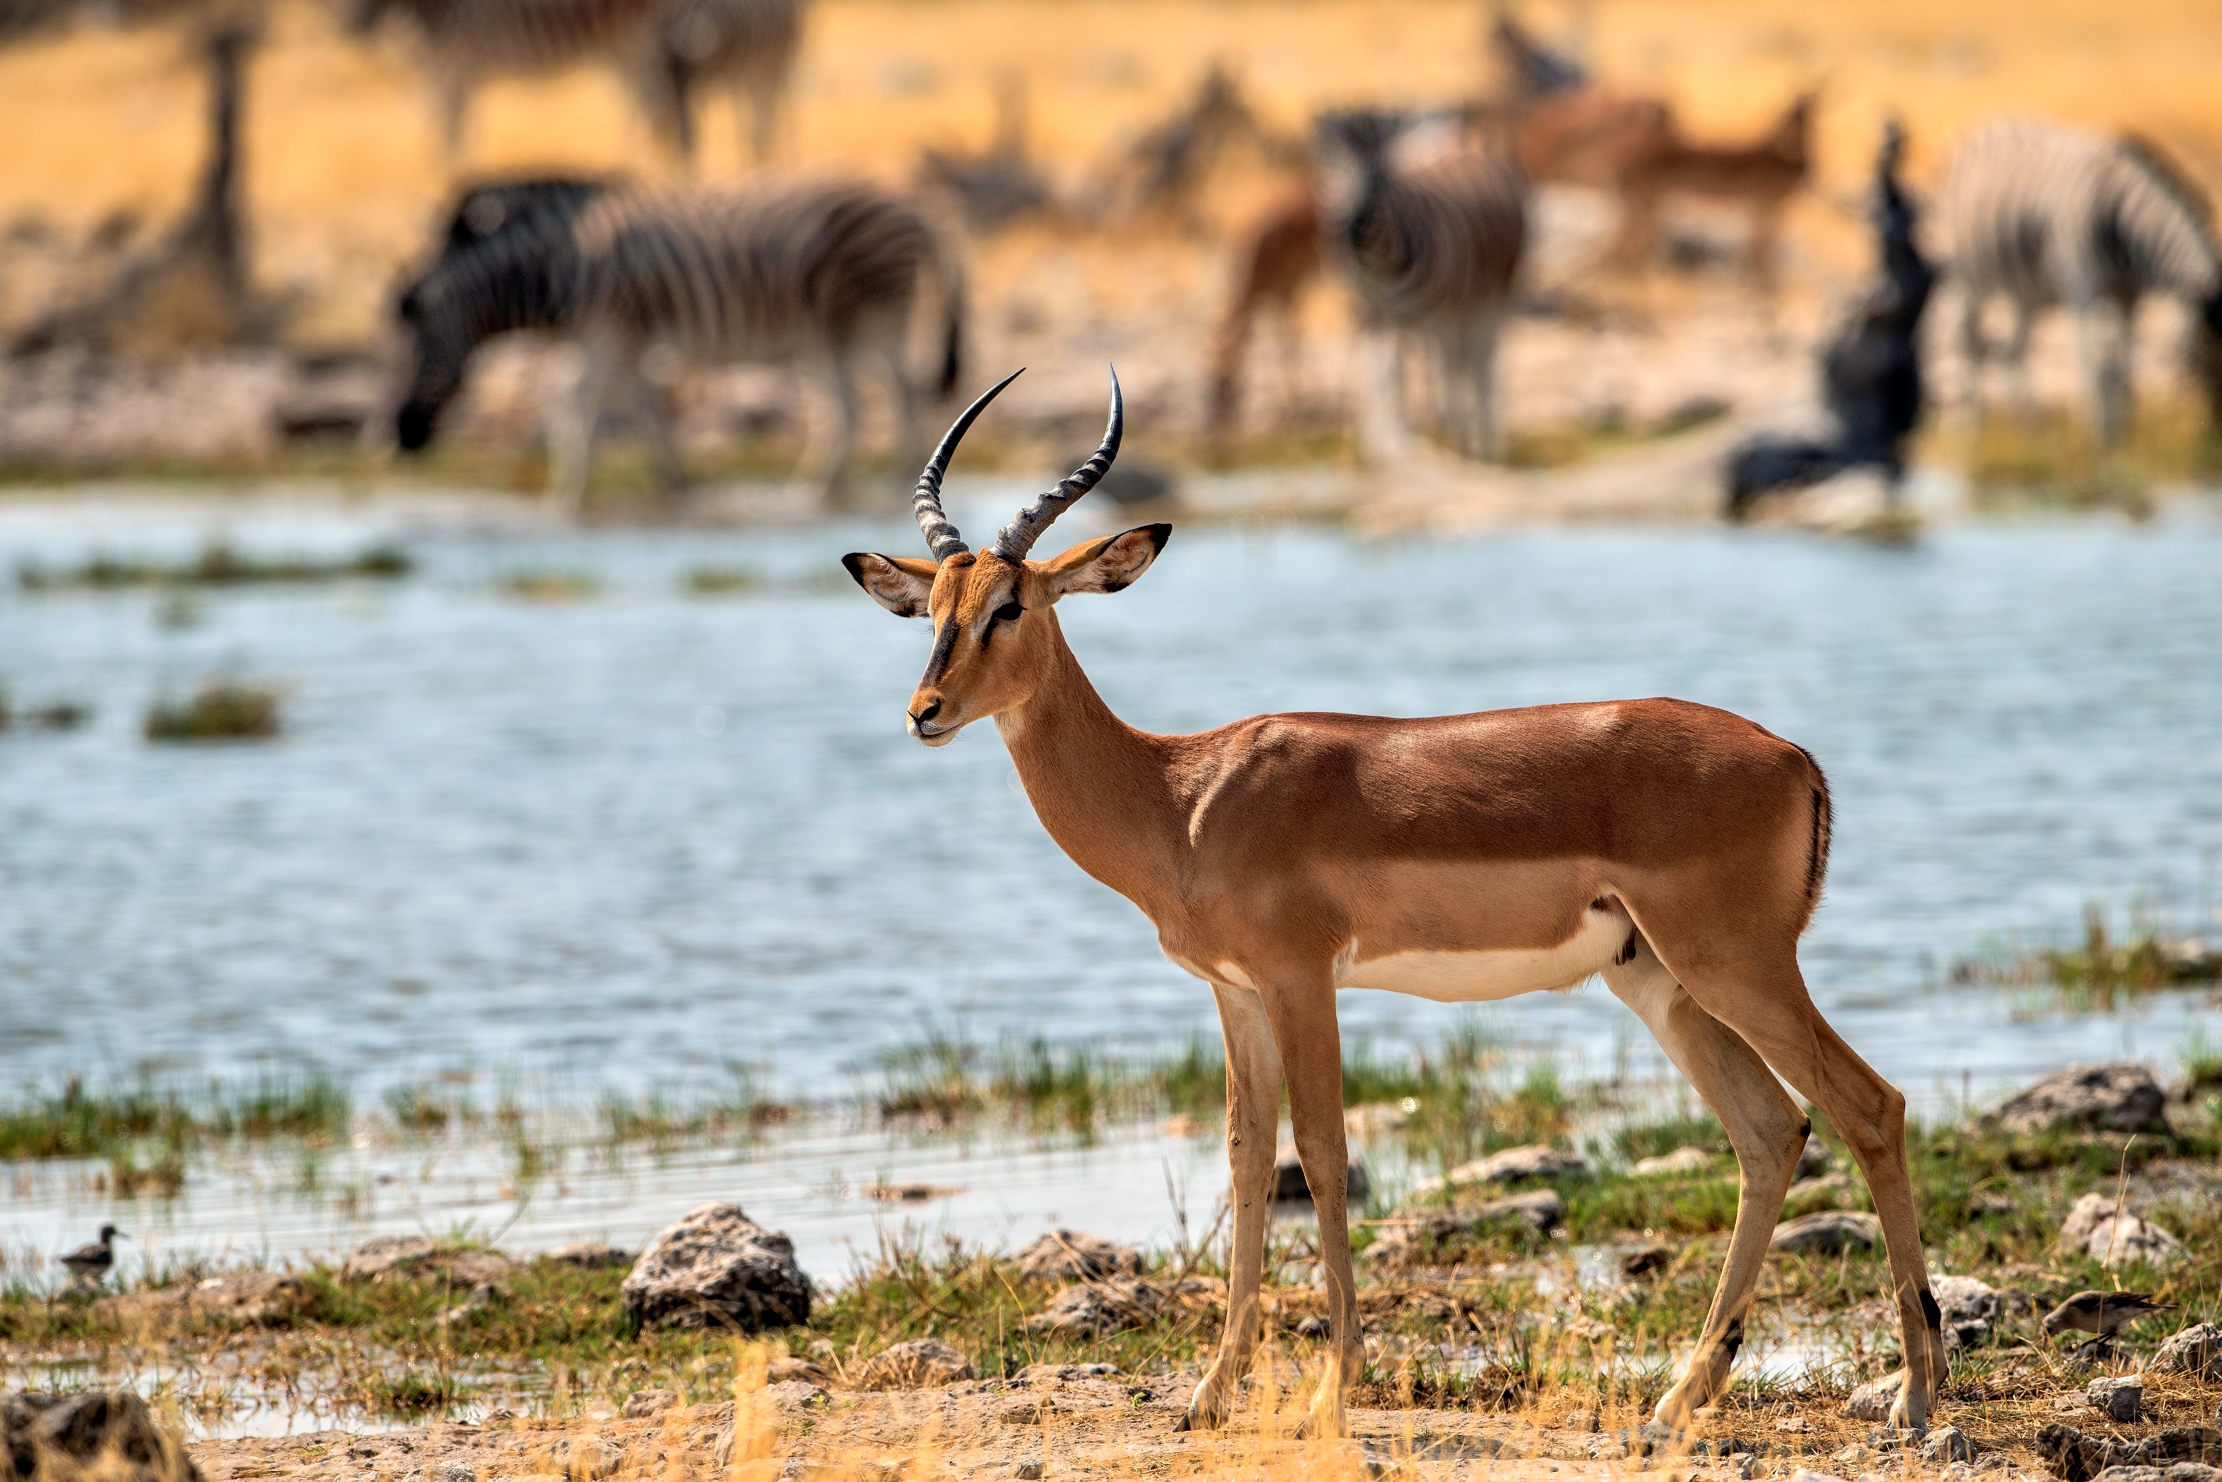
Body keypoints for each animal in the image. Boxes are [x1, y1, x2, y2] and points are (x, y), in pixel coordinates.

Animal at [843, 368, 1950, 1439]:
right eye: (933, 610)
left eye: (1011, 605)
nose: (923, 712)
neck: (1180, 794)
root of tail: (1794, 757)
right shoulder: (1233, 993)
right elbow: (1248, 1162)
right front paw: (1210, 1394)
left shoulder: (1301, 978)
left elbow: (1325, 1155)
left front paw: (1332, 1391)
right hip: (1659, 983)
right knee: (1770, 1133)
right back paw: (1679, 1401)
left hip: (1735, 963)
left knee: (1870, 1106)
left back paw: (1913, 1395)